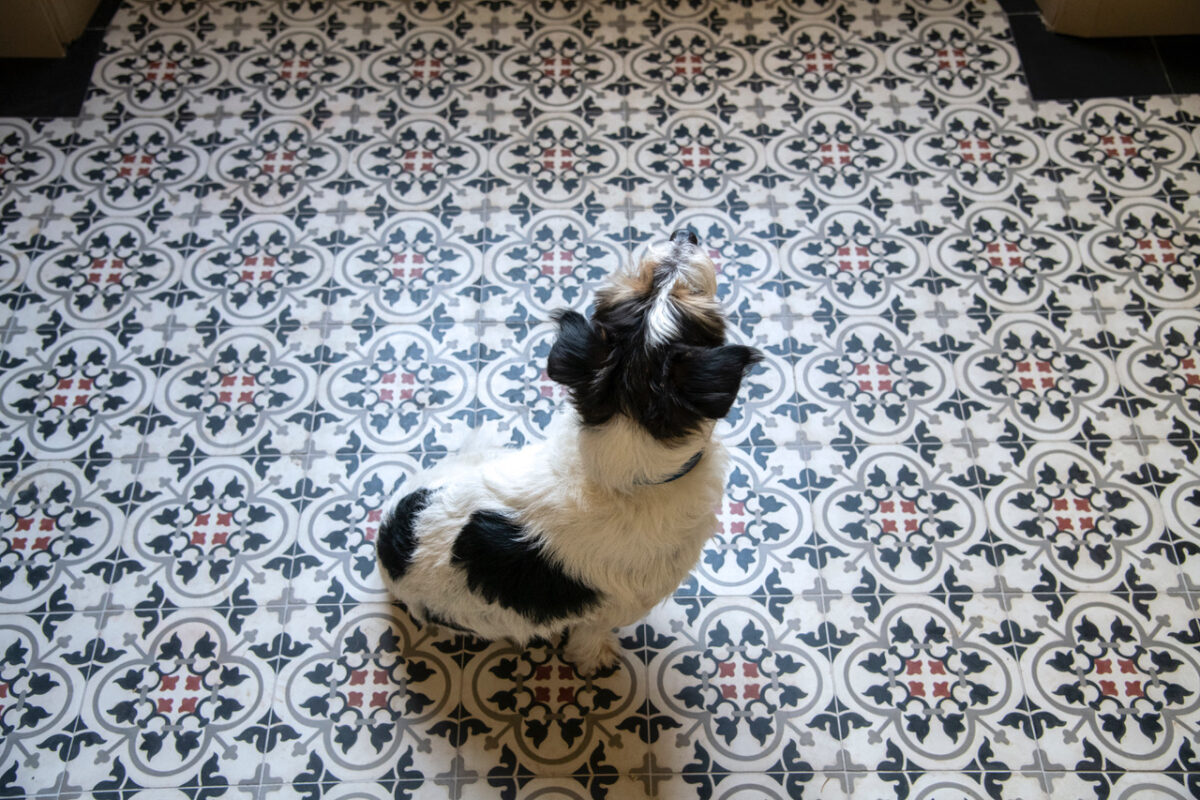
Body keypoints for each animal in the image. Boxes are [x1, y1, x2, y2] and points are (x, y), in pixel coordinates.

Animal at [372, 231, 758, 676]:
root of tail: (388, 551)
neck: (625, 473)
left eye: (639, 283)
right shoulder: (610, 610)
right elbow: (591, 638)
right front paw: (599, 660)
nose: (685, 235)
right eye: (688, 296)